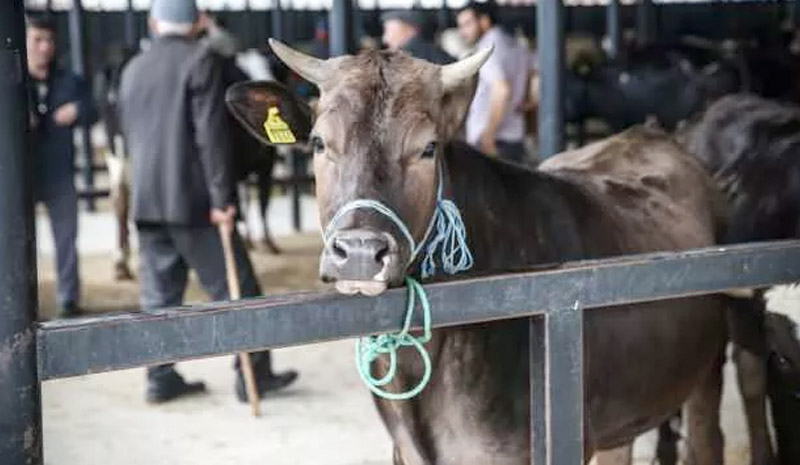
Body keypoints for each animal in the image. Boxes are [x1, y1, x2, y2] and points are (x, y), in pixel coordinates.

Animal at [228, 41, 772, 462]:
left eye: (428, 148)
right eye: (319, 143)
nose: (360, 252)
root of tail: (651, 134)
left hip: (709, 360)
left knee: (711, 432)